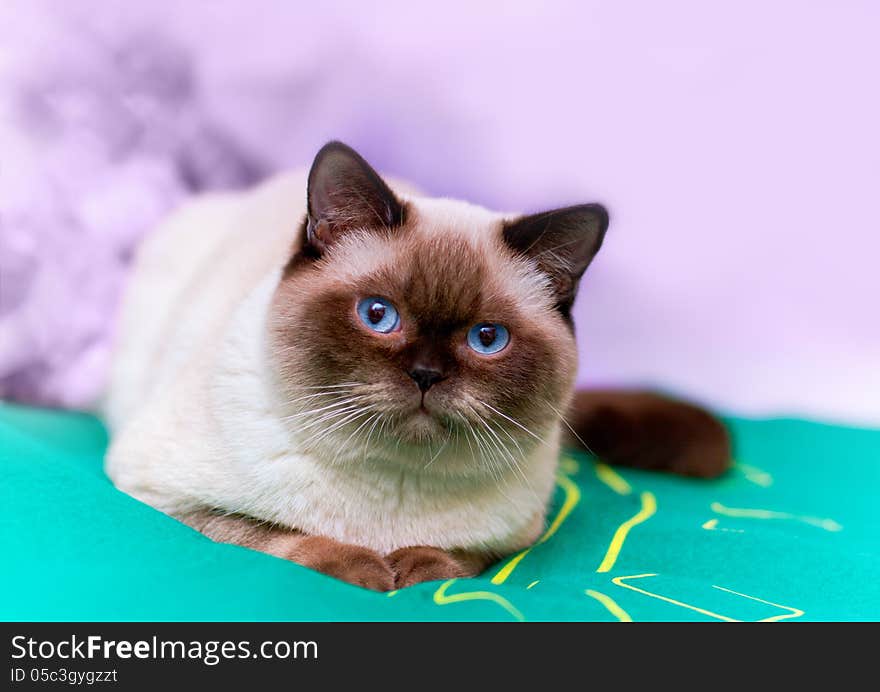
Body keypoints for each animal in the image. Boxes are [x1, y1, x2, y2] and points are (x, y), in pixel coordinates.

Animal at [103, 139, 728, 588]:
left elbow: (457, 557)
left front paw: (413, 566)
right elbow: (271, 534)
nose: (426, 375)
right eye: (378, 315)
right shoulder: (159, 495)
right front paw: (367, 570)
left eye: (487, 338)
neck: (393, 487)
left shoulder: (515, 538)